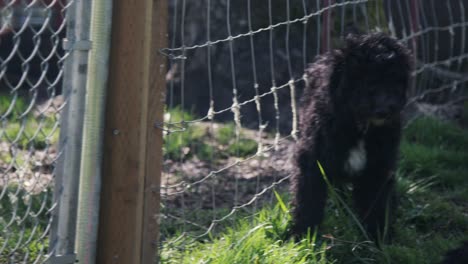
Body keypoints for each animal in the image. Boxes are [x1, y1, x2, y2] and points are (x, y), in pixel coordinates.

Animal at [290, 32, 412, 240]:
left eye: (394, 81)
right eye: (367, 81)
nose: (385, 109)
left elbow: (376, 202)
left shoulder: (378, 166)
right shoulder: (313, 160)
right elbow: (308, 198)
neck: (360, 127)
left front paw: (378, 236)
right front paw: (302, 234)